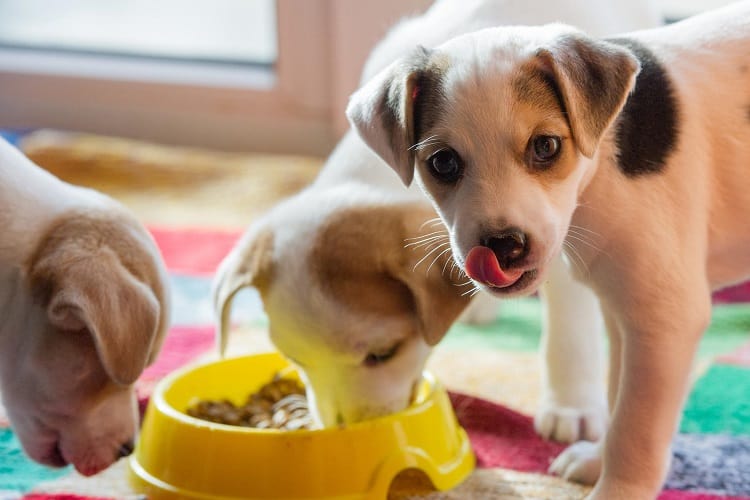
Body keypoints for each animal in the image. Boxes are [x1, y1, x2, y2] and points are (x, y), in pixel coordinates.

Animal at [350, 1, 750, 498]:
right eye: (442, 162)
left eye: (545, 146)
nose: (503, 246)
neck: (601, 170)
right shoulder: (624, 312)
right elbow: (617, 398)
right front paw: (595, 460)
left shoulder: (665, 320)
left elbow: (634, 431)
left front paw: (617, 488)